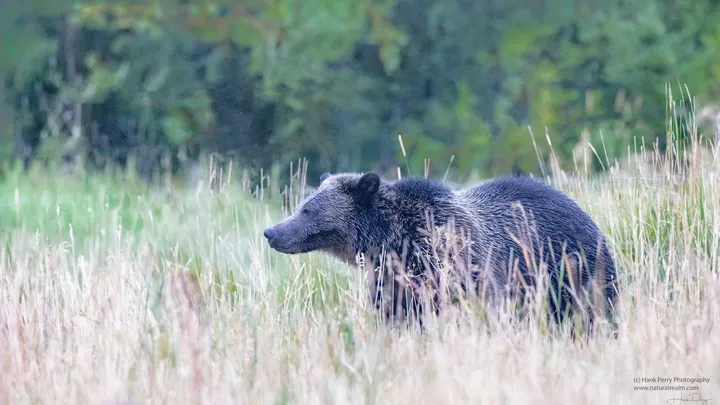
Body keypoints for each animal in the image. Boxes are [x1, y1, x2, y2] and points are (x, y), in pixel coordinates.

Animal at [263, 171, 620, 337]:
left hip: (572, 268)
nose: (272, 232)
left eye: (307, 210)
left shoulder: (461, 267)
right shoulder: (392, 281)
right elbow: (395, 315)